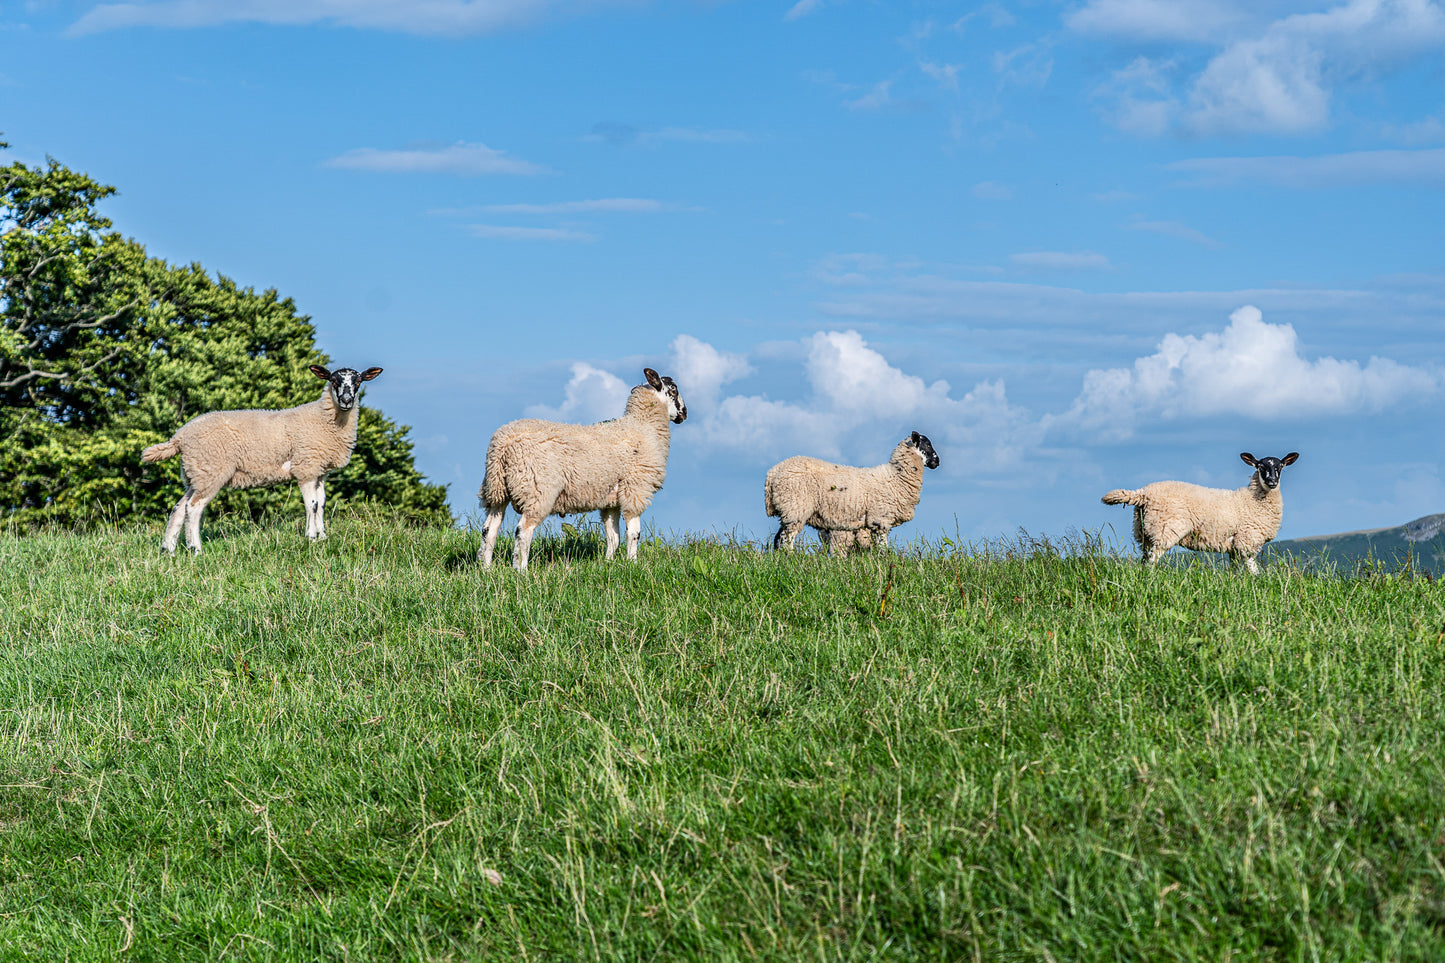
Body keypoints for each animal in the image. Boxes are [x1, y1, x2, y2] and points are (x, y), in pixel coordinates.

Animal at [140, 364, 383, 554]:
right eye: (333, 380)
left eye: (358, 381)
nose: (346, 400)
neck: (325, 420)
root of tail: (179, 437)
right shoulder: (305, 467)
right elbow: (311, 504)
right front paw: (311, 537)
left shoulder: (319, 470)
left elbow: (321, 503)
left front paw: (322, 537)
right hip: (212, 470)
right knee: (193, 508)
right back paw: (195, 549)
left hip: (196, 473)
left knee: (178, 508)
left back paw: (168, 550)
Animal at [477, 367, 687, 571]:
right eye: (673, 390)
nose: (684, 413)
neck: (643, 426)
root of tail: (503, 443)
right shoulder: (635, 490)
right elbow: (634, 534)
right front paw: (633, 564)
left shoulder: (611, 500)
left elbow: (613, 536)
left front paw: (609, 563)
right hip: (537, 490)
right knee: (522, 530)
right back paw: (521, 570)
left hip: (497, 489)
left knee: (489, 529)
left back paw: (486, 569)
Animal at [764, 431, 940, 555]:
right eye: (927, 445)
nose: (937, 462)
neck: (896, 477)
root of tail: (773, 472)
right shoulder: (879, 519)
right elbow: (883, 549)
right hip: (795, 508)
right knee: (786, 539)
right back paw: (791, 559)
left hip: (788, 512)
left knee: (778, 539)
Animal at [1101, 451, 1300, 574]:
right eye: (1260, 467)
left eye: (1280, 467)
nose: (1272, 481)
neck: (1252, 499)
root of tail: (1143, 493)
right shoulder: (1247, 541)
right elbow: (1254, 571)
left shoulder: (1235, 547)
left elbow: (1235, 571)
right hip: (1165, 530)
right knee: (1152, 560)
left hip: (1144, 532)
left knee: (1144, 560)